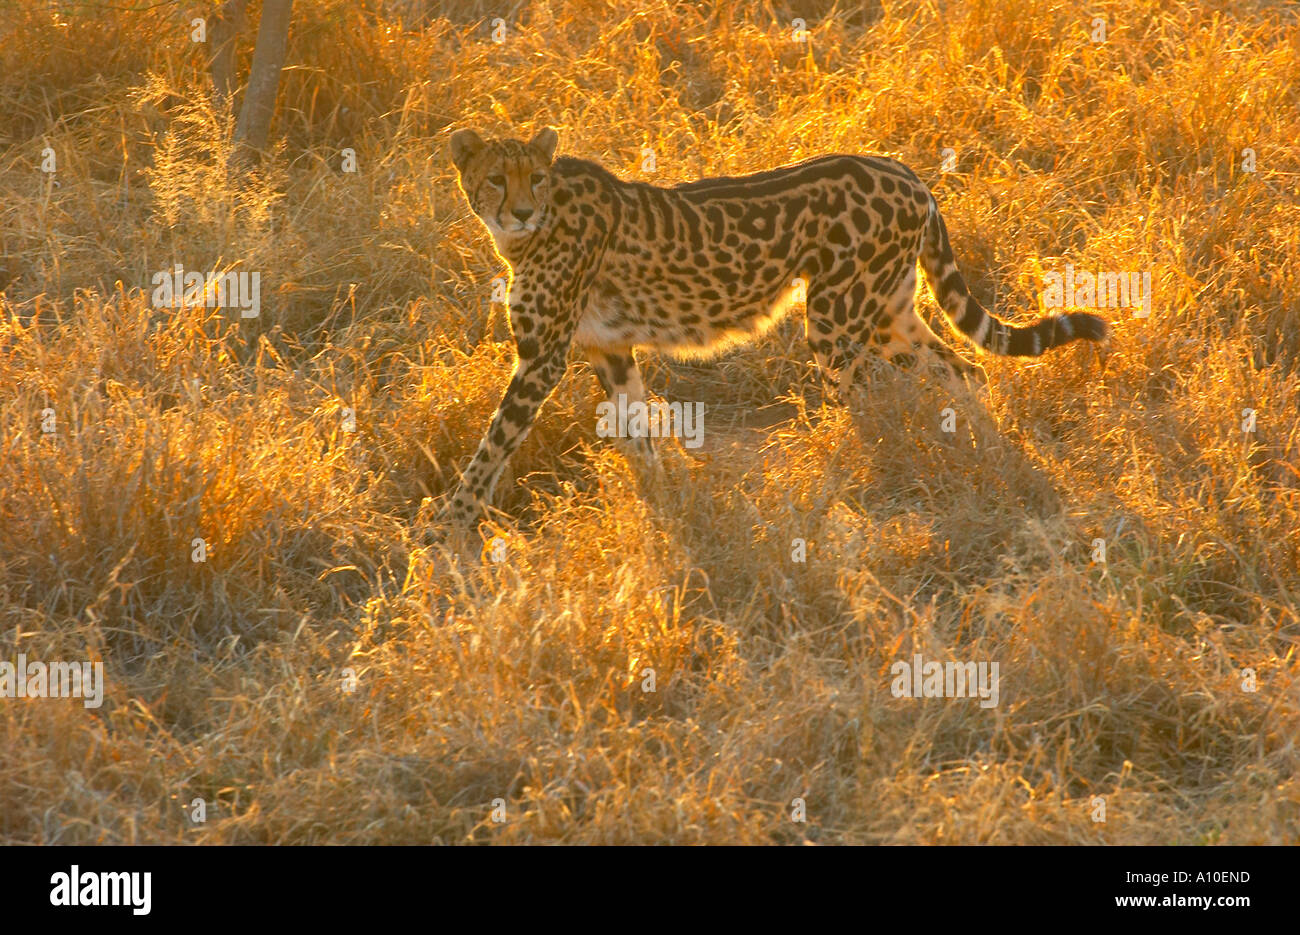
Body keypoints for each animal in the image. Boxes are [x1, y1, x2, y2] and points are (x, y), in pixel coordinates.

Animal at [439, 126, 1107, 525]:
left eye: (534, 177)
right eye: (496, 178)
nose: (521, 210)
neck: (530, 233)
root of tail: (906, 172)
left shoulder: (542, 357)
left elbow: (492, 445)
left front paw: (448, 527)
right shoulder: (611, 351)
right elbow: (637, 438)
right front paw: (668, 506)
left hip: (836, 322)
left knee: (867, 411)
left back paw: (854, 483)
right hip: (889, 314)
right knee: (963, 369)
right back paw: (996, 455)